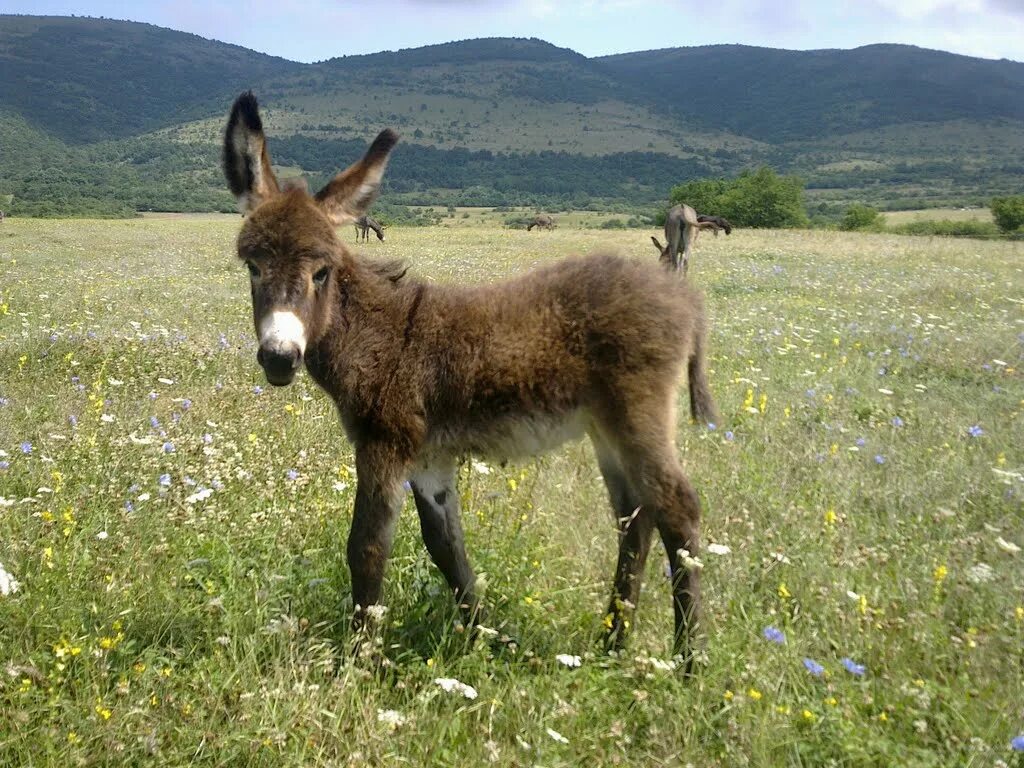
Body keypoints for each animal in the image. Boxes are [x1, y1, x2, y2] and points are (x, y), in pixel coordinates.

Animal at [224, 91, 720, 667]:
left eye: (320, 271)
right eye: (253, 267)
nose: (279, 359)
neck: (380, 334)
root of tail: (684, 298)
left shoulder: (384, 444)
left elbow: (367, 548)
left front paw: (357, 662)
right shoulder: (430, 459)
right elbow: (447, 549)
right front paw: (486, 638)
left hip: (640, 413)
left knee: (678, 510)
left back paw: (687, 663)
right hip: (606, 428)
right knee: (635, 517)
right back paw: (612, 644)